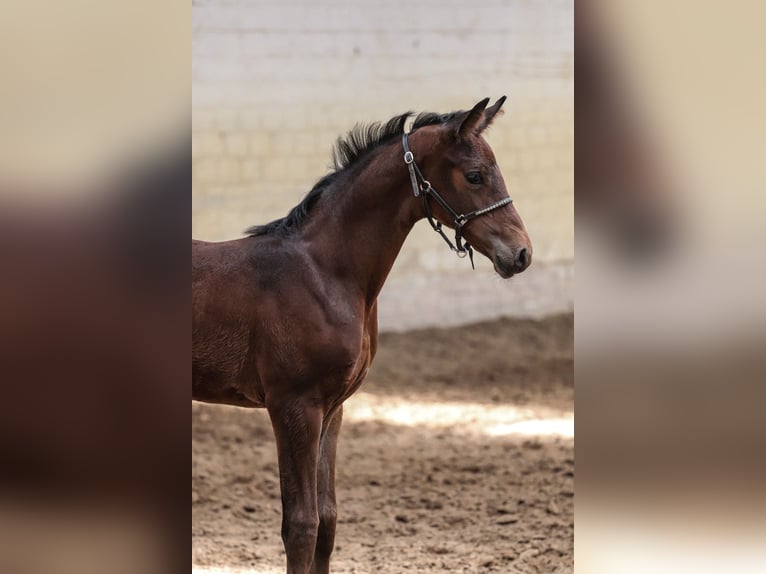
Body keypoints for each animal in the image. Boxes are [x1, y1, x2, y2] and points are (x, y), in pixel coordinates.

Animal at [192, 97, 532, 573]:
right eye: (475, 175)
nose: (521, 253)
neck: (324, 272)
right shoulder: (294, 406)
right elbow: (301, 525)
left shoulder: (332, 409)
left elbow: (328, 520)